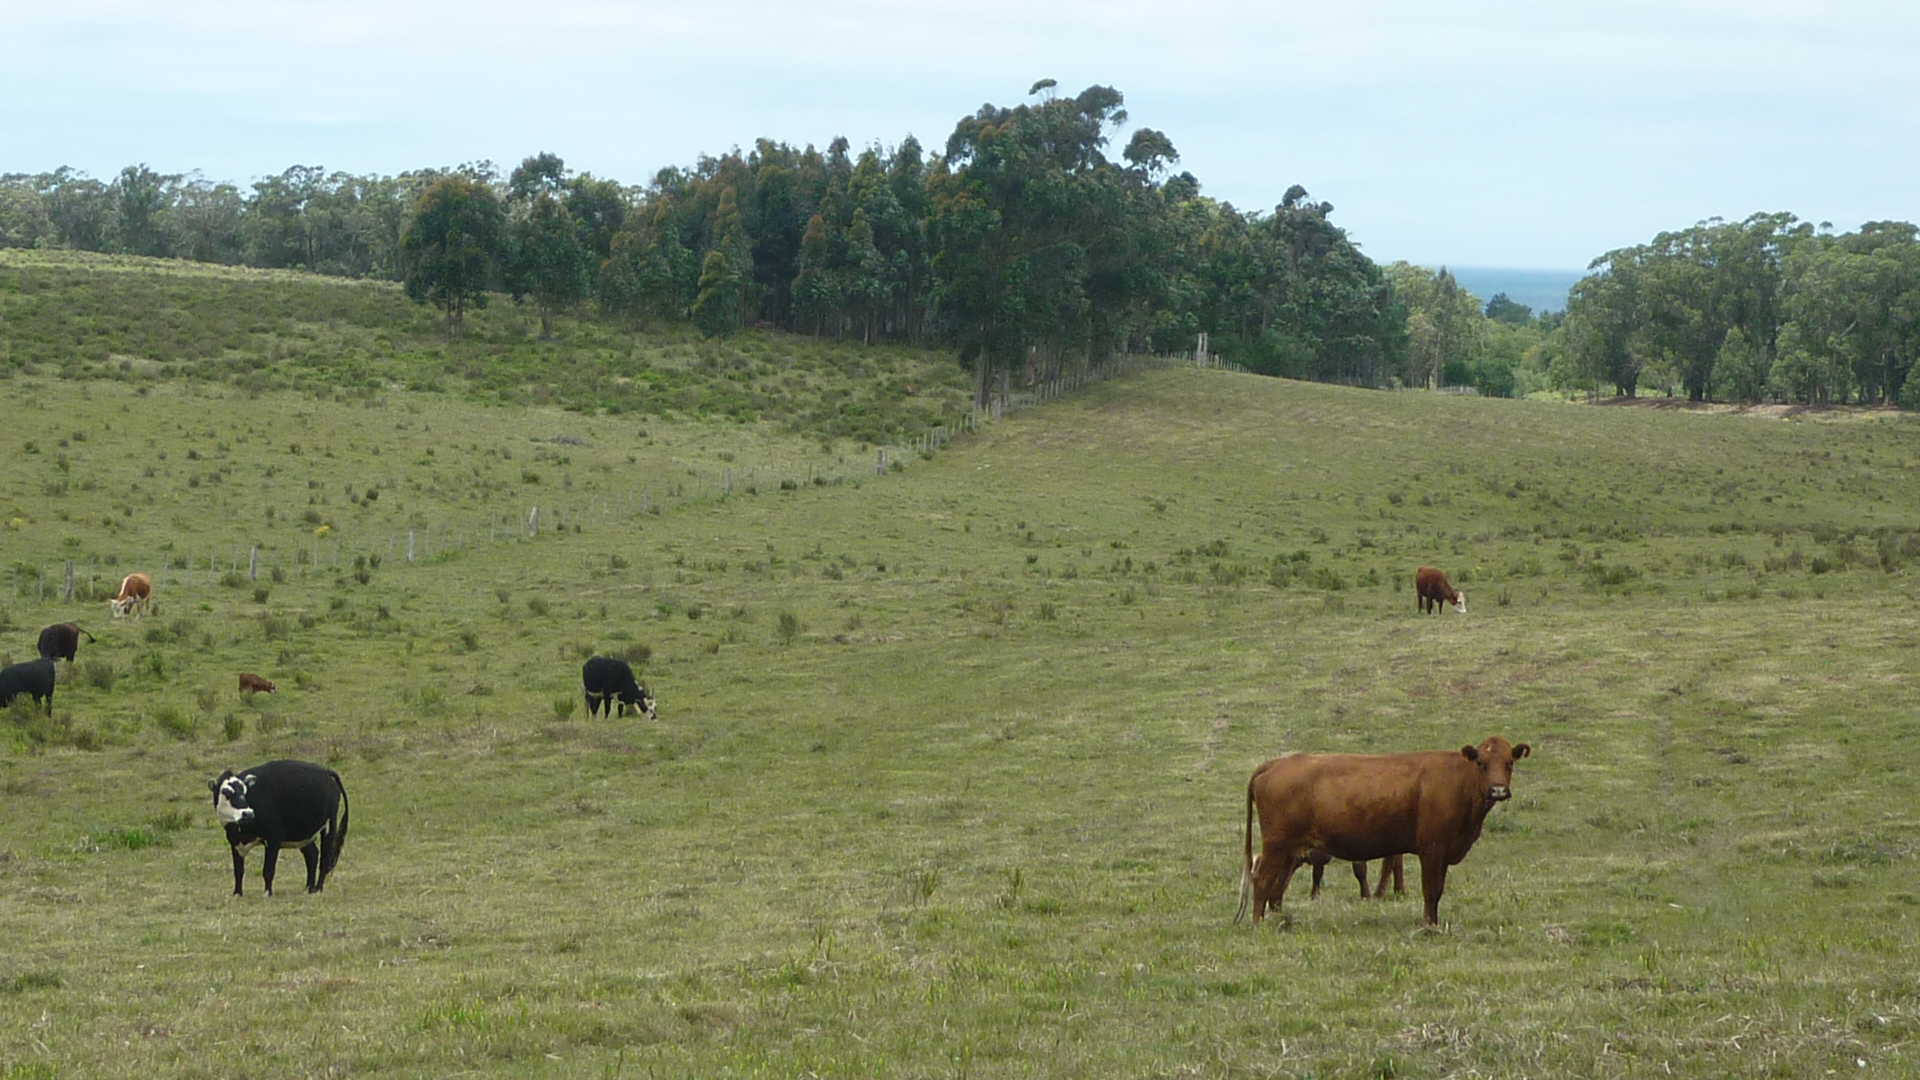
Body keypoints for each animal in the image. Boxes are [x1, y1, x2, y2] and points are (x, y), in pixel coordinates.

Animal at [214, 753, 353, 895]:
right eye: (226, 792)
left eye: (245, 791)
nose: (248, 813)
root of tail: (326, 771)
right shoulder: (234, 842)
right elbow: (238, 871)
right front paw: (237, 893)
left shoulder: (274, 838)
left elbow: (268, 870)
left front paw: (267, 893)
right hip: (303, 832)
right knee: (312, 855)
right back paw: (309, 888)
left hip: (329, 825)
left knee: (324, 859)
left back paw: (318, 889)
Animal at [1236, 734, 1536, 922]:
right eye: (1481, 763)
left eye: (1509, 763)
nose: (1498, 790)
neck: (1458, 780)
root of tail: (1276, 763)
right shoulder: (1432, 849)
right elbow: (1430, 890)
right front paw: (1428, 927)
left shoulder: (1443, 853)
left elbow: (1437, 890)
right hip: (1277, 846)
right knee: (1262, 880)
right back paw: (1259, 923)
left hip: (1288, 851)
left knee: (1275, 886)